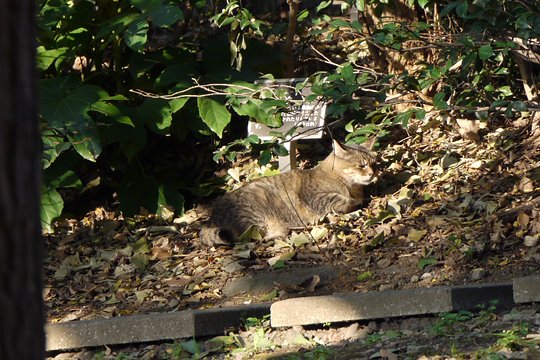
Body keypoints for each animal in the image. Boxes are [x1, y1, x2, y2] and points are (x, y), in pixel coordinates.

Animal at [198, 139, 376, 248]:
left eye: (374, 163)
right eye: (361, 165)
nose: (372, 173)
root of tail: (211, 217)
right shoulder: (318, 197)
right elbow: (344, 200)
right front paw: (359, 200)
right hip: (253, 218)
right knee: (249, 238)